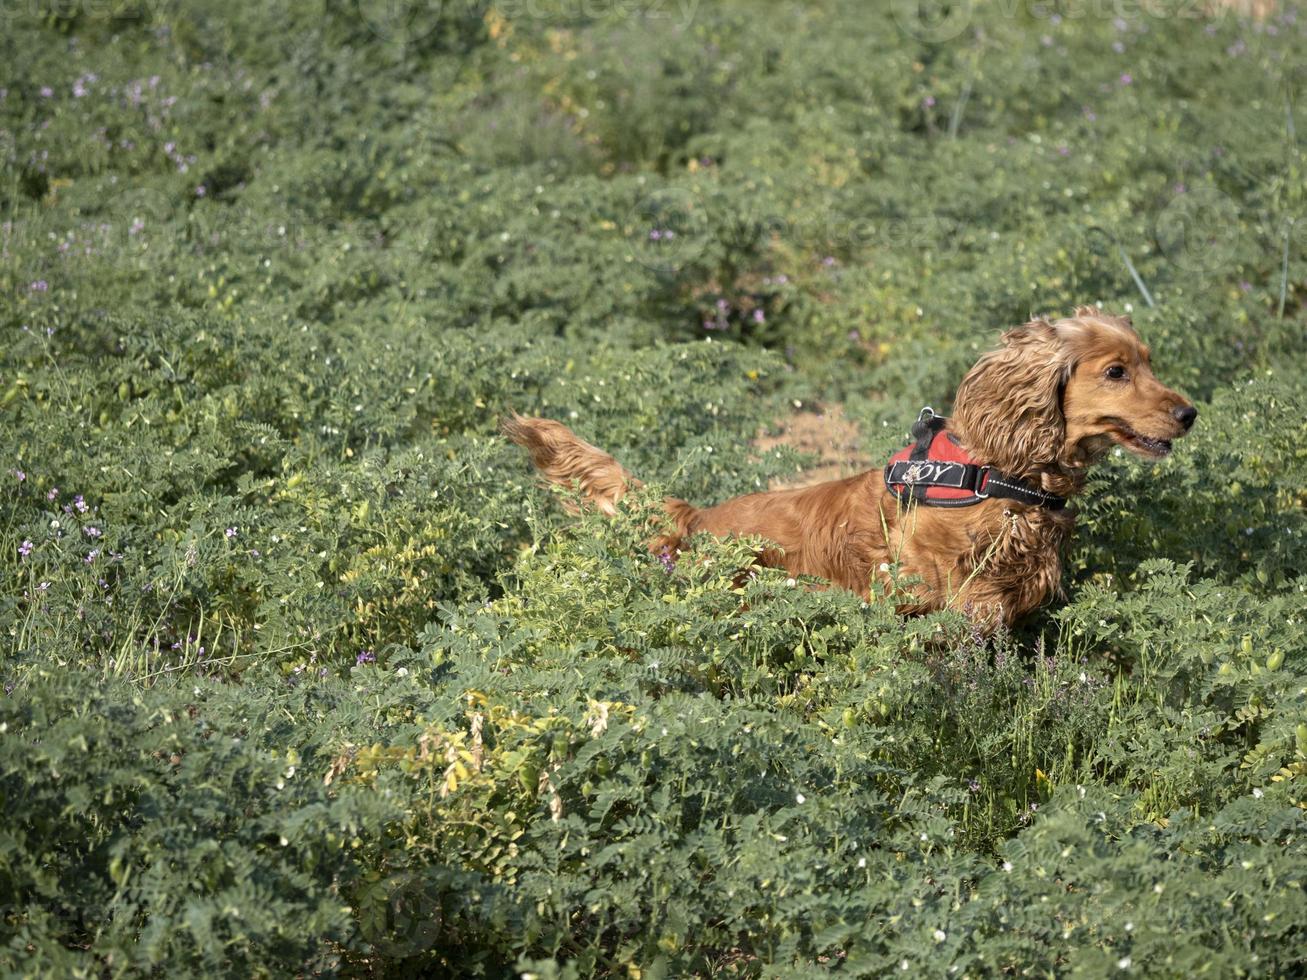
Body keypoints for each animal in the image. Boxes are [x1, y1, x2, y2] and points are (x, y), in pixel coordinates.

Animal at [504, 307, 1197, 632]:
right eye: (1116, 371)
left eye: (1150, 361)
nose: (1190, 413)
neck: (1000, 474)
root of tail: (696, 517)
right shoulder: (957, 599)